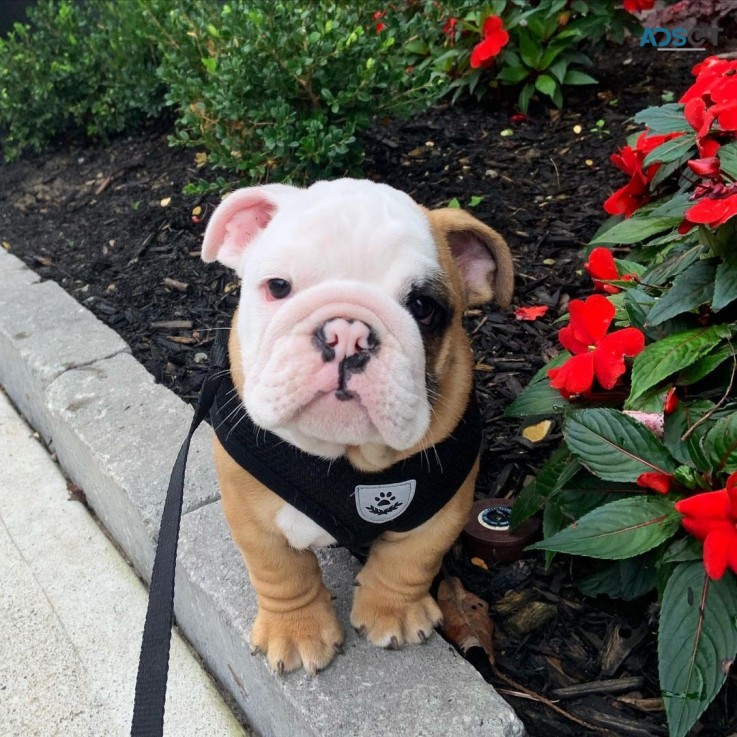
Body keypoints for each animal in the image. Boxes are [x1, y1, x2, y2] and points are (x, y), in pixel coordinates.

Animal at [200, 177, 512, 672]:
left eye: (423, 307)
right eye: (278, 287)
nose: (346, 332)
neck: (347, 456)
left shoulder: (444, 506)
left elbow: (411, 560)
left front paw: (393, 611)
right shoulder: (251, 514)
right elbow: (281, 572)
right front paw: (297, 630)